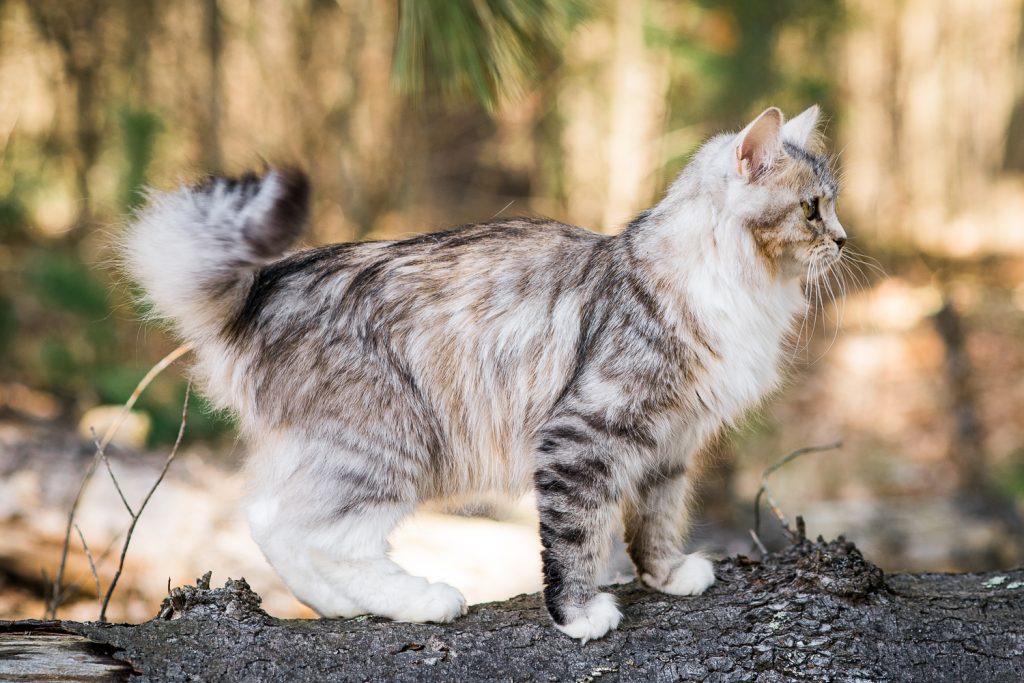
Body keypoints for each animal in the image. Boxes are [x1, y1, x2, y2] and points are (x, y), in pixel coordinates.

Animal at [125, 105, 847, 643]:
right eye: (813, 208)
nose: (843, 240)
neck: (732, 284)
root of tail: (270, 286)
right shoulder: (582, 433)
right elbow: (577, 536)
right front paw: (579, 615)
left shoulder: (671, 442)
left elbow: (657, 518)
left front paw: (666, 574)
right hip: (389, 439)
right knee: (315, 531)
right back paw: (421, 599)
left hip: (331, 445)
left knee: (271, 521)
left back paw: (347, 605)